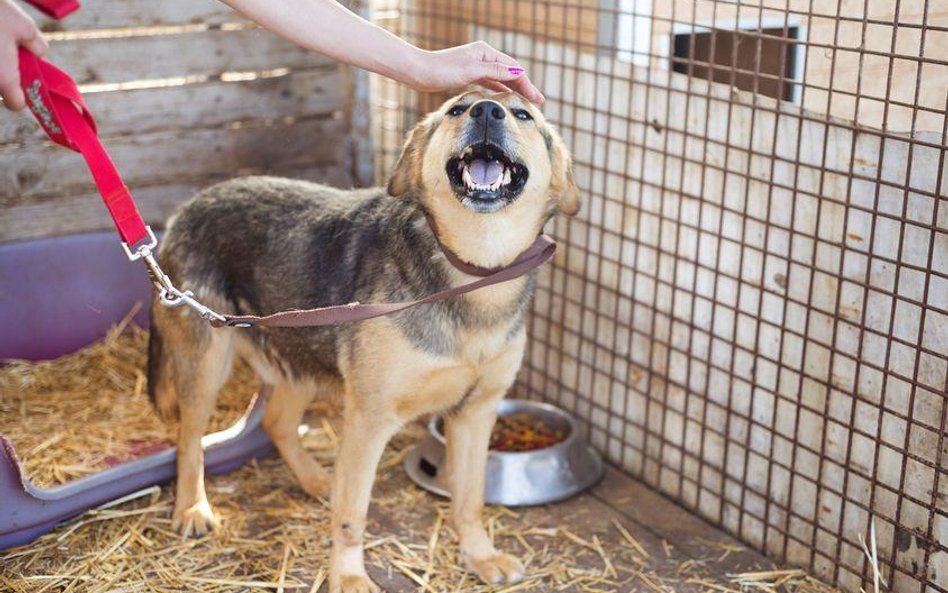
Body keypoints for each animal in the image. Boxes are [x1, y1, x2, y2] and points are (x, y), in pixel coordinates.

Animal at [147, 89, 576, 592]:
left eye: (523, 114)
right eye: (456, 109)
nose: (486, 110)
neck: (473, 275)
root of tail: (186, 207)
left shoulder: (477, 413)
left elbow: (470, 498)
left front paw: (480, 555)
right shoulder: (370, 419)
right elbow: (353, 514)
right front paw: (349, 576)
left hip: (301, 357)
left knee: (275, 422)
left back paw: (317, 481)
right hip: (206, 367)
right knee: (189, 438)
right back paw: (193, 507)